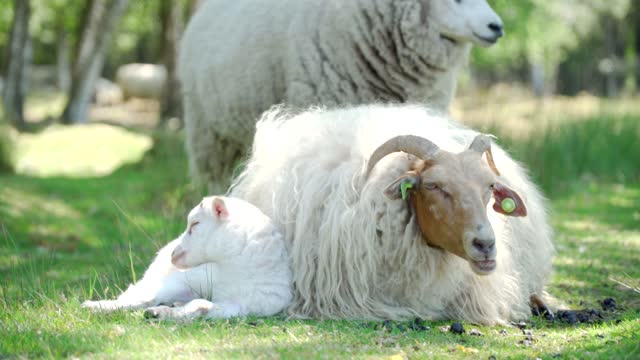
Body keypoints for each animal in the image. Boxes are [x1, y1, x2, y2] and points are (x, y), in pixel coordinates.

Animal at [81, 197, 292, 320]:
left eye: (195, 224)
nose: (174, 254)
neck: (231, 273)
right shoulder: (189, 278)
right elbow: (149, 297)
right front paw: (100, 307)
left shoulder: (239, 306)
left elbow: (201, 305)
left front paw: (163, 313)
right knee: (140, 291)